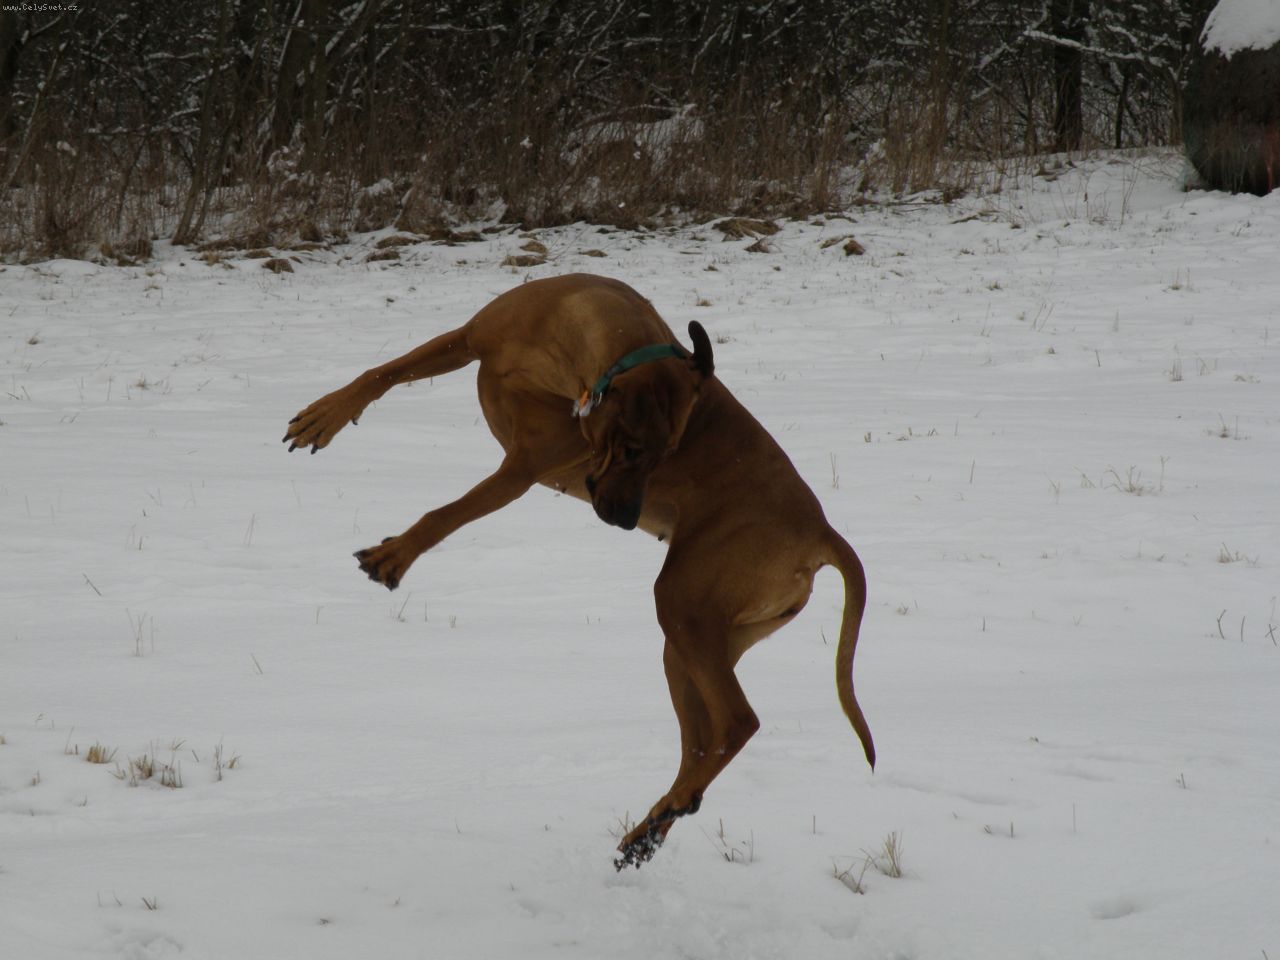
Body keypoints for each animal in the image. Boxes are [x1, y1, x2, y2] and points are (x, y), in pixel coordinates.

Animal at [284, 273, 874, 868]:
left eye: (668, 454)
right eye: (635, 450)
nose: (626, 520)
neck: (571, 342)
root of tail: (822, 530)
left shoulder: (523, 468)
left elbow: (447, 515)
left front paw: (396, 555)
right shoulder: (468, 340)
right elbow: (384, 371)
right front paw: (325, 416)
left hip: (684, 601)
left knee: (737, 722)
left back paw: (669, 809)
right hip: (697, 638)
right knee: (700, 740)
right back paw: (653, 826)